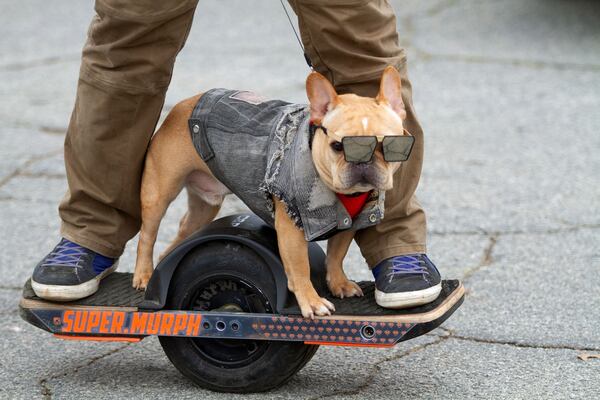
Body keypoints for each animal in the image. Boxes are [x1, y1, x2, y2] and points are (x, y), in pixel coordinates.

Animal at [133, 66, 410, 318]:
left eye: (390, 145)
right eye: (337, 146)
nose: (363, 162)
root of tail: (183, 105)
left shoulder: (350, 221)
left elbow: (336, 254)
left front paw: (338, 283)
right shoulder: (291, 228)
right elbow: (300, 267)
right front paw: (311, 302)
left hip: (204, 207)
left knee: (182, 232)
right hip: (159, 192)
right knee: (147, 235)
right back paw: (144, 276)